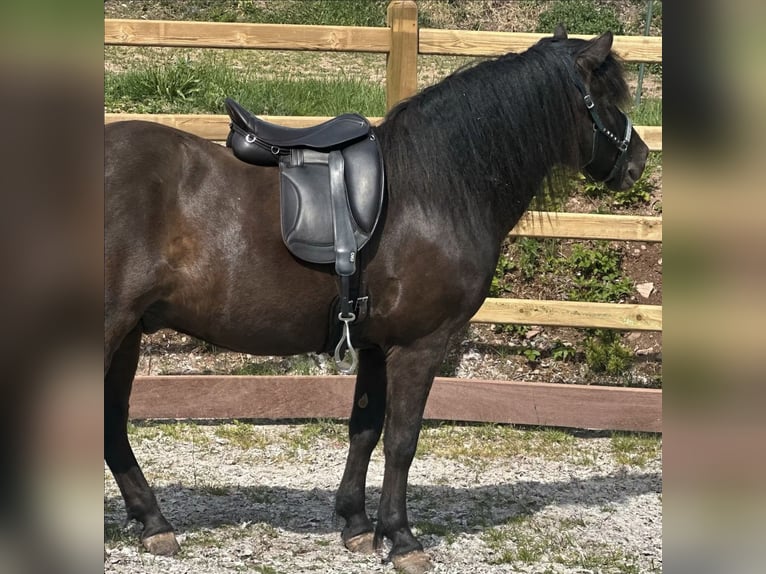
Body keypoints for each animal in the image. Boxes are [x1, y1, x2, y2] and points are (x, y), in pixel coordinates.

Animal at [105, 26, 648, 573]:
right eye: (606, 98)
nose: (639, 161)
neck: (435, 191)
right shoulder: (420, 346)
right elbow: (402, 440)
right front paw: (402, 538)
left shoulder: (372, 344)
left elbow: (364, 428)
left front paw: (358, 525)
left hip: (128, 334)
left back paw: (154, 524)